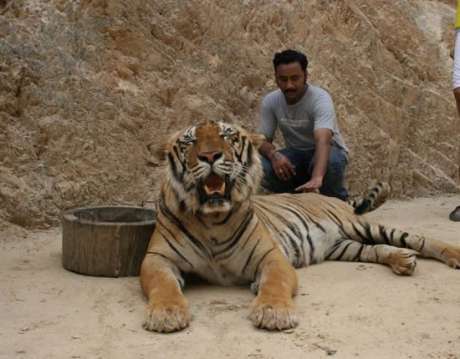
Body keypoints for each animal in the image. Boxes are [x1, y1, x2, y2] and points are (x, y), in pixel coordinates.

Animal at [140, 120, 460, 334]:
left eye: (226, 136)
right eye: (190, 142)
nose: (210, 156)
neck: (212, 220)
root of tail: (329, 196)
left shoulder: (271, 256)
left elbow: (275, 283)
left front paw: (273, 312)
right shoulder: (157, 258)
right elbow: (163, 284)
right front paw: (167, 313)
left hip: (359, 226)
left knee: (419, 239)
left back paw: (451, 255)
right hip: (344, 246)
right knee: (377, 250)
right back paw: (403, 261)